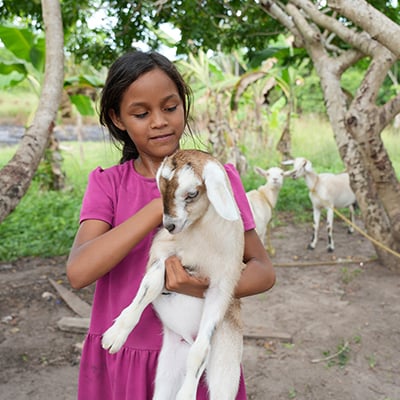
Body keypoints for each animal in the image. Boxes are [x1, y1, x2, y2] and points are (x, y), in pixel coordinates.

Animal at [101, 148, 245, 398]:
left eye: (192, 193)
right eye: (160, 189)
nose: (169, 225)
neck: (200, 240)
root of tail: (185, 339)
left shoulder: (222, 286)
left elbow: (200, 351)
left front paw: (186, 394)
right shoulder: (163, 254)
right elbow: (148, 288)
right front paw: (115, 334)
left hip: (225, 370)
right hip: (166, 372)